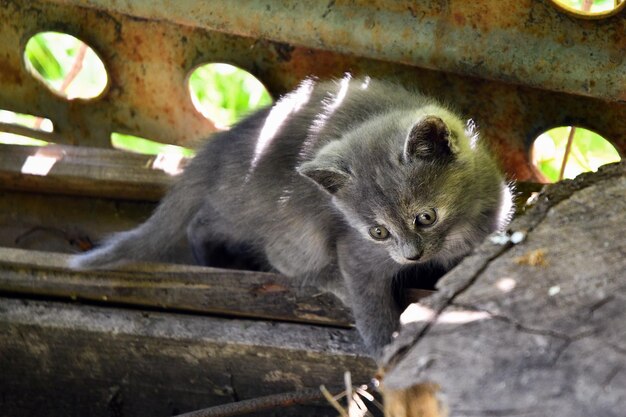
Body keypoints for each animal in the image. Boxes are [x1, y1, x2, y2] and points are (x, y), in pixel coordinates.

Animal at [68, 75, 512, 358]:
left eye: (425, 217)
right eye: (378, 232)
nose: (411, 256)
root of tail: (219, 149)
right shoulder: (357, 253)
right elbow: (369, 304)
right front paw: (389, 351)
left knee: (206, 222)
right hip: (296, 223)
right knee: (279, 257)